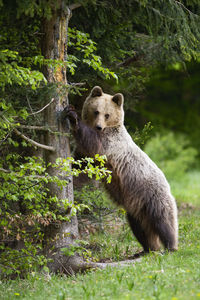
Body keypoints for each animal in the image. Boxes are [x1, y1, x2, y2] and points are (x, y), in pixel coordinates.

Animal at [65, 86, 178, 253]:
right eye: (96, 111)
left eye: (107, 114)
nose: (99, 126)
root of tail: (167, 184)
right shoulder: (88, 157)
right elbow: (81, 168)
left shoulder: (110, 144)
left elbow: (94, 143)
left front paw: (73, 116)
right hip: (137, 207)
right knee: (141, 228)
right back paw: (148, 249)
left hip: (153, 195)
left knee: (164, 220)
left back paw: (171, 246)